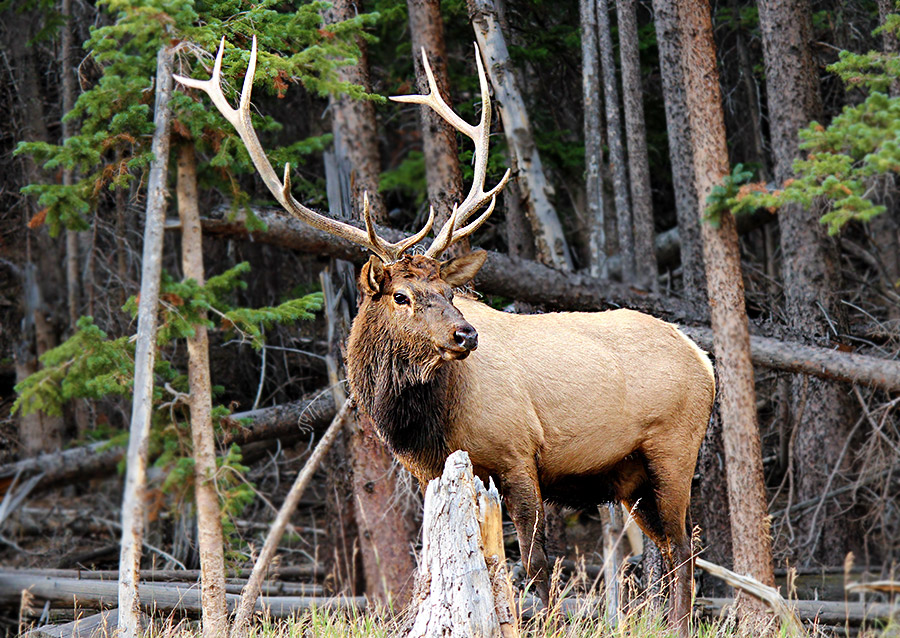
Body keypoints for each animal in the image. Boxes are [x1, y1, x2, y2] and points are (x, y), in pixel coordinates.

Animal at [175, 37, 715, 635]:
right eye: (401, 296)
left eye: (449, 291)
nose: (466, 335)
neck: (424, 419)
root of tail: (703, 356)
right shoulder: (435, 473)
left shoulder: (519, 453)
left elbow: (536, 567)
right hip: (631, 478)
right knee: (671, 549)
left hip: (673, 447)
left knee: (685, 549)